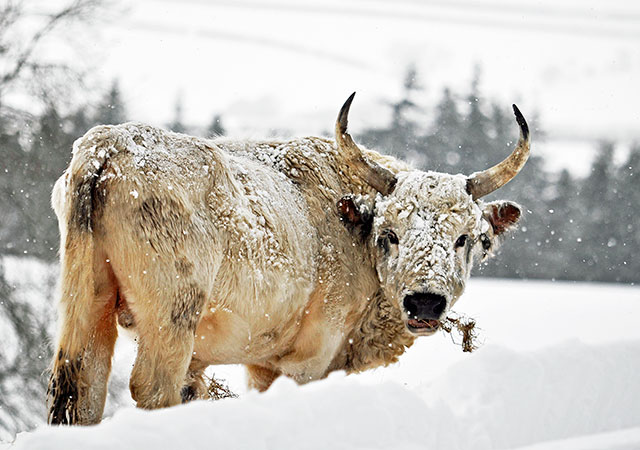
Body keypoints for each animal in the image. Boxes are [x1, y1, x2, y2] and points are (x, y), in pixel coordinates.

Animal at [46, 93, 528, 424]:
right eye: (389, 235)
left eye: (465, 238)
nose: (424, 302)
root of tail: (109, 145)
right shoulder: (307, 359)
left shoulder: (246, 362)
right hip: (171, 318)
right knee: (150, 389)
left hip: (87, 306)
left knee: (80, 389)